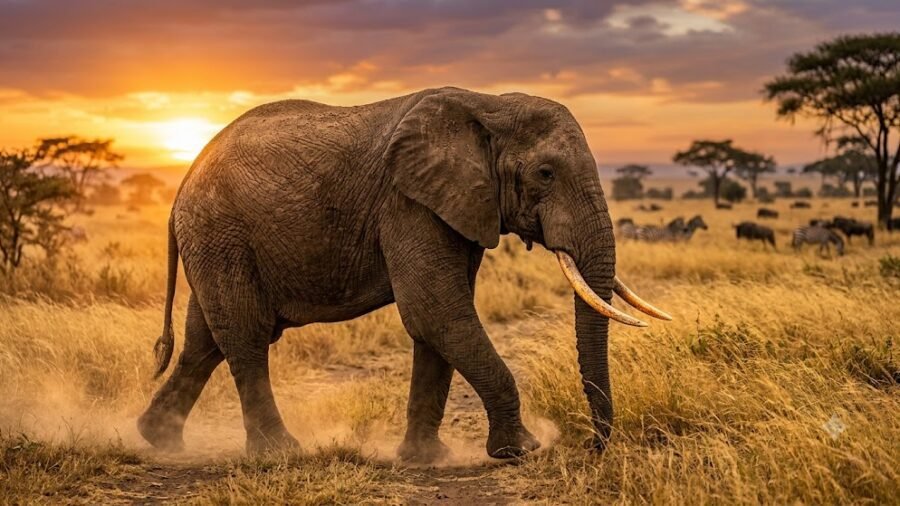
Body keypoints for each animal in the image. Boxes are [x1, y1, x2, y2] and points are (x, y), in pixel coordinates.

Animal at [136, 87, 671, 462]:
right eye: (545, 173)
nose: (592, 446)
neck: (490, 105)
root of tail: (185, 178)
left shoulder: (453, 206)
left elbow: (438, 322)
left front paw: (425, 459)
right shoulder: (407, 202)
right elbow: (437, 311)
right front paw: (521, 451)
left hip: (217, 241)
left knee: (205, 340)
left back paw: (158, 439)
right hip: (220, 232)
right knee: (244, 336)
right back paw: (278, 452)